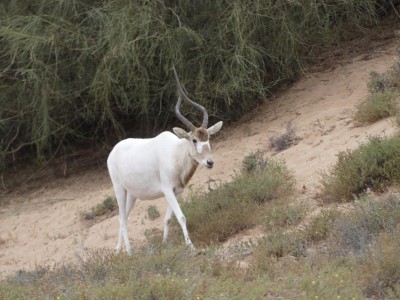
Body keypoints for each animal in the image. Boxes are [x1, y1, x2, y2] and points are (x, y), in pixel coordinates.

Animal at [108, 65, 223, 253]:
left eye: (208, 138)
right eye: (194, 140)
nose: (210, 162)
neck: (176, 154)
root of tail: (113, 151)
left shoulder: (176, 191)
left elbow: (168, 218)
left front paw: (164, 244)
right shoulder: (167, 189)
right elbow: (181, 217)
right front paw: (191, 247)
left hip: (132, 194)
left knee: (120, 217)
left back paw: (118, 251)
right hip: (119, 189)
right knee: (123, 219)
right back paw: (129, 252)